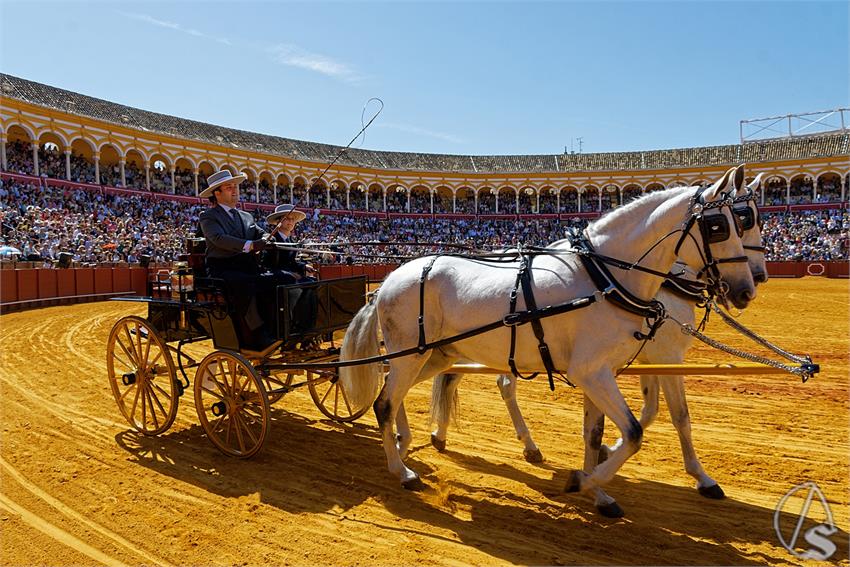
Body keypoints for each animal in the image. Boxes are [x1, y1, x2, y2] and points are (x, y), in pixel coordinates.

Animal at [336, 166, 748, 516]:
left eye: (745, 221)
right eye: (718, 226)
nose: (746, 287)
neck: (604, 276)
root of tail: (390, 279)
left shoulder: (601, 372)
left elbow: (597, 434)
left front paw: (598, 491)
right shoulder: (595, 371)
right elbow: (633, 432)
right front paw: (583, 481)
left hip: (433, 355)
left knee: (399, 392)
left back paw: (407, 442)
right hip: (410, 354)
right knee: (385, 402)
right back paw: (401, 471)